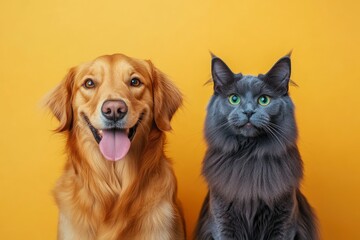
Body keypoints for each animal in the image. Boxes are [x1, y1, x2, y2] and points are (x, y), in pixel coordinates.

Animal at [194, 54, 318, 240]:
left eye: (264, 100)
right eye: (234, 99)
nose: (248, 112)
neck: (249, 156)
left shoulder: (284, 222)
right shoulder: (222, 220)